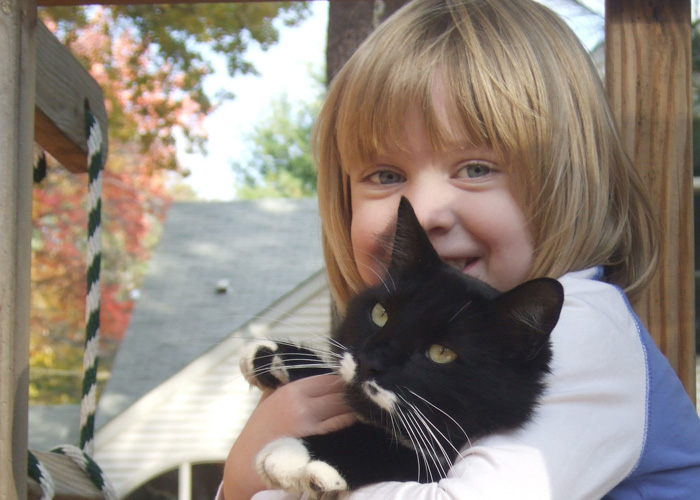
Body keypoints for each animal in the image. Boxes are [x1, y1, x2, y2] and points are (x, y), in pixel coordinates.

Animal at [241, 197, 564, 498]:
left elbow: (390, 446)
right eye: (380, 314)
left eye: (441, 353)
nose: (370, 361)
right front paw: (274, 356)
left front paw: (298, 456)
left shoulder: (436, 464)